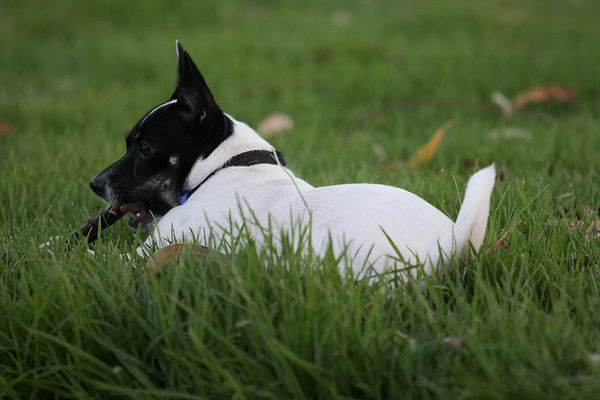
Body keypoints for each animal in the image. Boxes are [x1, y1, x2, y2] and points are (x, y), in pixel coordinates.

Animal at [88, 41, 492, 278]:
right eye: (128, 143)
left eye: (144, 149)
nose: (94, 184)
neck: (224, 166)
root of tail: (454, 244)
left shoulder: (152, 250)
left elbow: (91, 258)